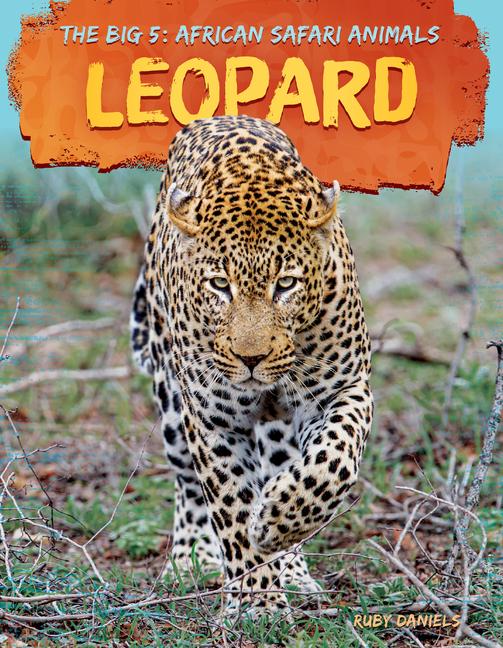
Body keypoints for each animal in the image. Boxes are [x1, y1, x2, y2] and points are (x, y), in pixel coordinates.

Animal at [130, 114, 373, 616]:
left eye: (286, 284)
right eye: (220, 285)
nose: (251, 358)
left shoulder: (344, 389)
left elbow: (334, 460)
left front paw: (278, 523)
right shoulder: (212, 421)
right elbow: (232, 512)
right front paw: (258, 602)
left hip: (279, 430)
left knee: (283, 466)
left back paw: (292, 564)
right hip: (172, 406)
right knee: (188, 486)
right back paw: (190, 561)